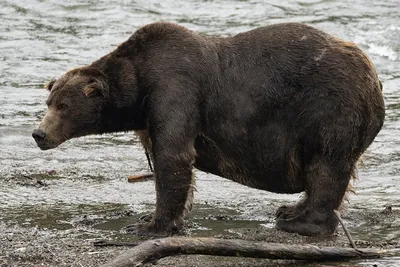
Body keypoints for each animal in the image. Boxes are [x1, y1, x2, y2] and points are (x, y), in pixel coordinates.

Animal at [33, 22, 384, 237]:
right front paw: (164, 218)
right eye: (49, 101)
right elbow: (165, 162)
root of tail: (375, 78)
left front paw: (149, 225)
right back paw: (290, 209)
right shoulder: (150, 114)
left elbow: (173, 157)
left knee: (326, 166)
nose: (39, 134)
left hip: (328, 107)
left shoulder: (175, 88)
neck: (138, 88)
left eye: (63, 106)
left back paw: (300, 222)